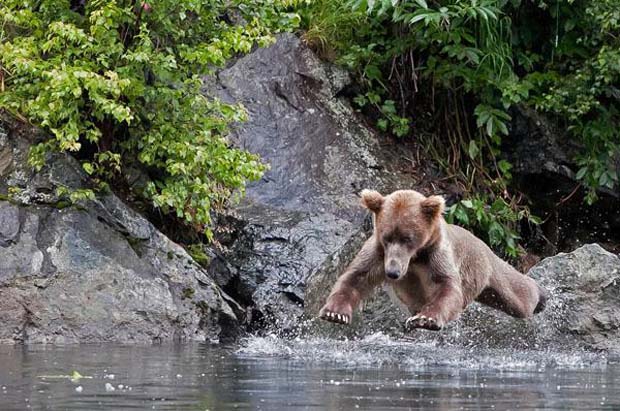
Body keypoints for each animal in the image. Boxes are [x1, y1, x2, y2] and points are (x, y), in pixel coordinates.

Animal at [320, 190, 548, 332]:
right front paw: (335, 313)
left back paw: (542, 296)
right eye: (387, 237)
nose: (392, 272)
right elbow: (356, 277)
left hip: (486, 267)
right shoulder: (378, 253)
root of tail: (482, 243)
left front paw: (424, 319)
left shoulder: (437, 254)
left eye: (407, 238)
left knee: (519, 295)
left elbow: (447, 286)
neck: (415, 258)